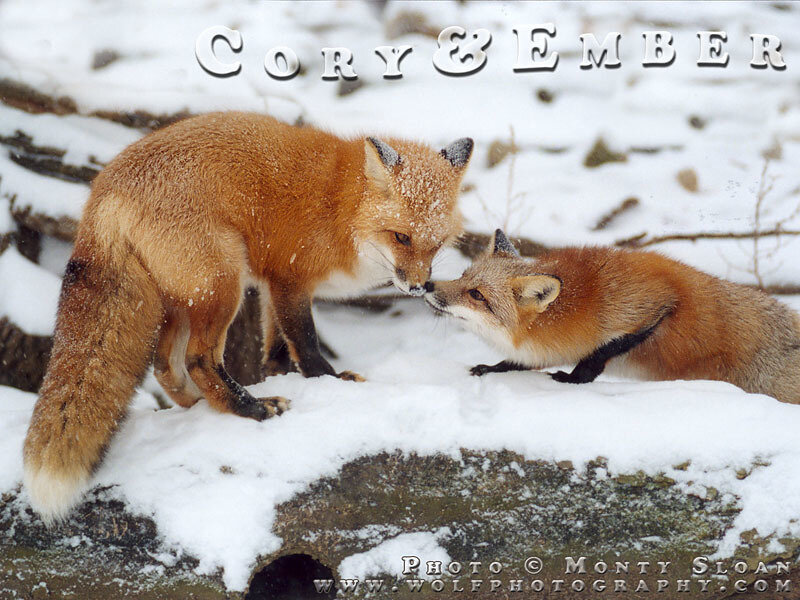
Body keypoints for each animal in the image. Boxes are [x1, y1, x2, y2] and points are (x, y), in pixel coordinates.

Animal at [23, 111, 473, 523]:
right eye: (401, 237)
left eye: (436, 245)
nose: (419, 288)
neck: (342, 207)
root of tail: (104, 187)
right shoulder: (290, 279)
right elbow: (306, 342)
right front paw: (331, 382)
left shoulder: (273, 288)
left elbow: (275, 350)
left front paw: (280, 374)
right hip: (222, 284)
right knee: (198, 360)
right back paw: (250, 408)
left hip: (183, 299)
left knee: (164, 365)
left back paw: (200, 405)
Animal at [425, 229, 800, 404]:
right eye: (464, 277)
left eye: (477, 295)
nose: (428, 285)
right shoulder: (547, 346)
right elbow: (520, 362)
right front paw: (491, 368)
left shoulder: (652, 305)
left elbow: (601, 353)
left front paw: (572, 379)